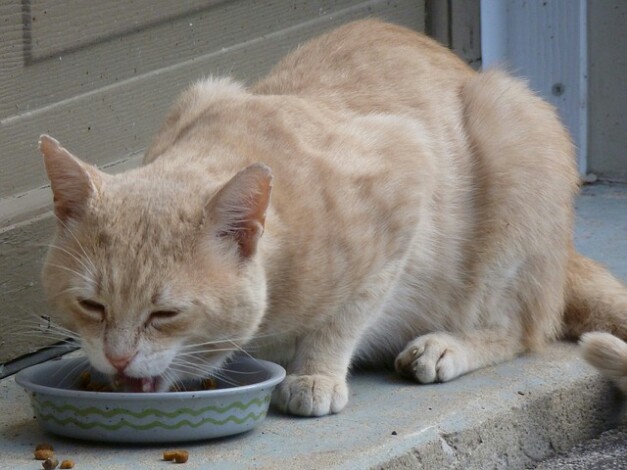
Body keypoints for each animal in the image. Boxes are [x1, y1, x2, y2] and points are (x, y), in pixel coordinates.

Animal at [40, 19, 627, 414]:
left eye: (165, 314)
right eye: (91, 306)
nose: (117, 359)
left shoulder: (407, 179)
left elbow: (345, 316)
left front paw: (314, 375)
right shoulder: (201, 90)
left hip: (512, 139)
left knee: (521, 328)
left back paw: (446, 346)